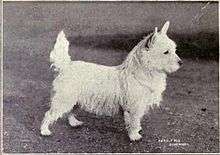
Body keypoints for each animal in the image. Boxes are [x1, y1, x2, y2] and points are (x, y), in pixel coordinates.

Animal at [40, 21, 182, 141]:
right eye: (166, 52)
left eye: (174, 50)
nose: (181, 62)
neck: (142, 73)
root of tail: (66, 66)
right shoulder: (133, 107)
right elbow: (133, 121)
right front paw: (134, 136)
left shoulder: (140, 105)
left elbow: (137, 120)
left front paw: (138, 130)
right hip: (64, 99)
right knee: (49, 114)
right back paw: (44, 131)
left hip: (74, 99)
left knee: (70, 112)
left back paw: (75, 123)